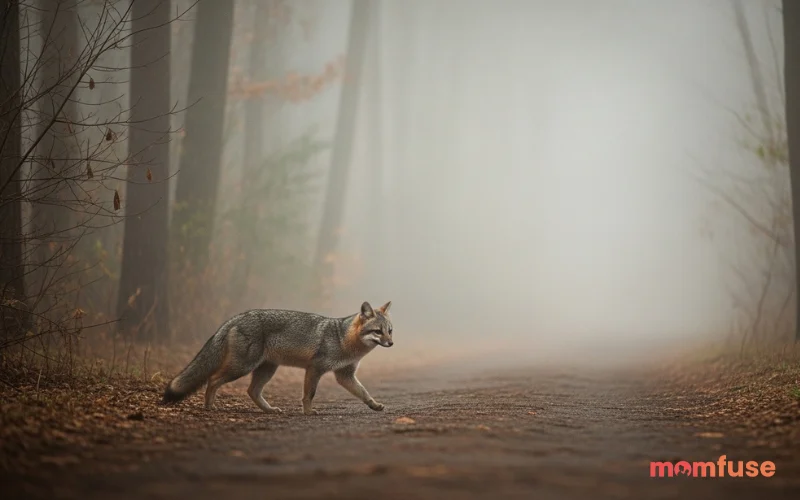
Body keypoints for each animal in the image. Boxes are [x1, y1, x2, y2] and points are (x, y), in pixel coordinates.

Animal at [161, 301, 393, 415]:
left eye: (390, 331)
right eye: (378, 332)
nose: (391, 344)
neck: (343, 340)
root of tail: (237, 317)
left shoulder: (345, 375)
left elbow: (363, 392)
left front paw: (374, 405)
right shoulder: (315, 369)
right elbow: (309, 394)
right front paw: (308, 413)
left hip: (266, 369)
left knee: (252, 391)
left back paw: (270, 410)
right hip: (241, 367)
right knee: (213, 379)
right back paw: (209, 406)